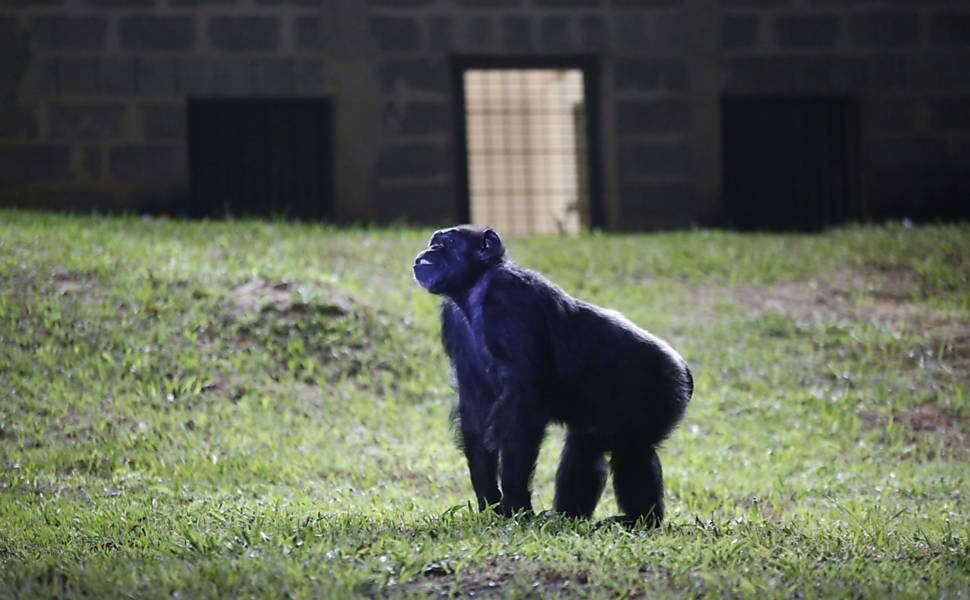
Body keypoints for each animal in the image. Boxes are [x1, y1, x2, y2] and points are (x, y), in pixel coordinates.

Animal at [412, 225, 692, 524]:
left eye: (449, 242)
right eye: (435, 240)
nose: (430, 250)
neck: (475, 290)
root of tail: (684, 370)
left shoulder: (510, 304)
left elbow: (523, 406)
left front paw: (516, 504)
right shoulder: (453, 323)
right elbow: (475, 409)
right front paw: (489, 502)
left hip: (662, 389)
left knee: (632, 450)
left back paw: (641, 519)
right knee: (585, 448)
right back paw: (568, 516)